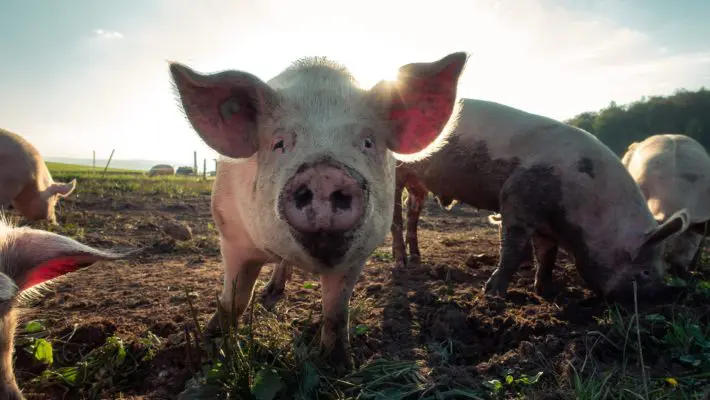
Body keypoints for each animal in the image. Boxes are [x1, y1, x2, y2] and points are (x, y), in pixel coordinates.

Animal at [169, 52, 468, 370]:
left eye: (367, 142)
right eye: (279, 143)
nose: (324, 174)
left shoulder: (358, 254)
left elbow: (336, 312)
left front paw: (339, 366)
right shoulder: (231, 235)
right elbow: (235, 299)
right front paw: (210, 349)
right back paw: (270, 293)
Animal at [387, 98, 690, 300]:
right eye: (646, 272)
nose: (663, 297)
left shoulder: (548, 225)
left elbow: (547, 255)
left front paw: (546, 291)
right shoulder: (516, 198)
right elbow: (511, 248)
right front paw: (493, 294)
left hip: (418, 184)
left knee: (412, 212)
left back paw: (417, 257)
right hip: (397, 173)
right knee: (395, 218)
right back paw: (401, 264)